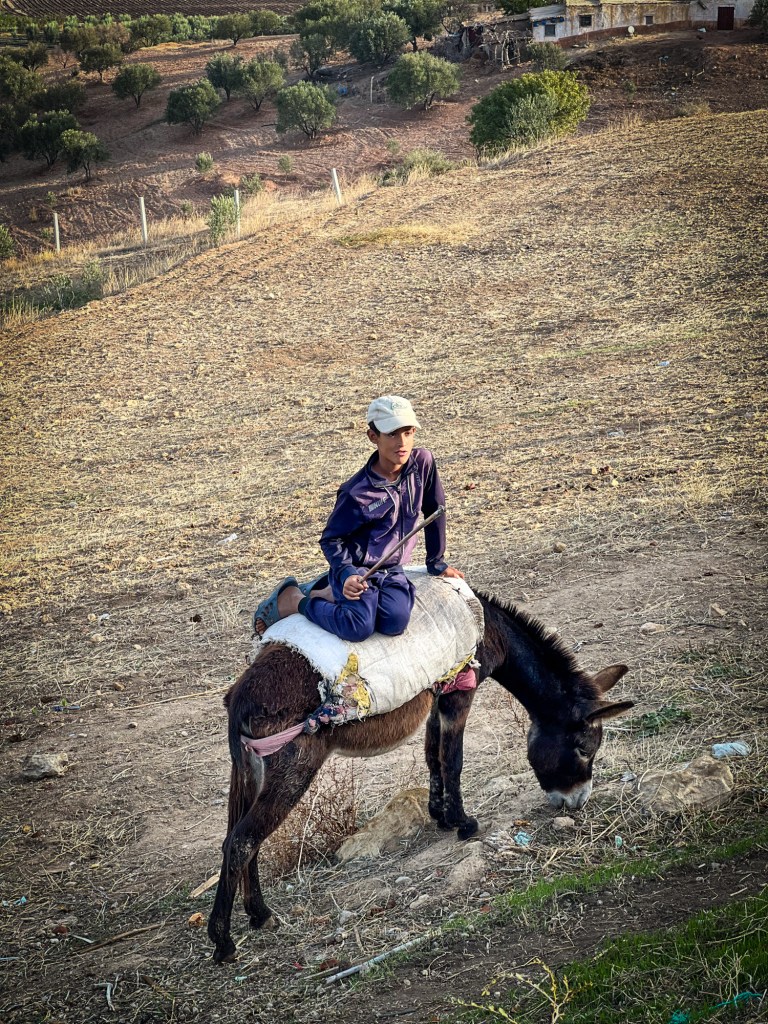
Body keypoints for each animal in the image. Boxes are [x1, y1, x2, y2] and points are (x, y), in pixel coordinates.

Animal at [208, 591, 633, 963]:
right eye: (583, 747)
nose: (577, 802)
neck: (489, 626)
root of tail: (240, 696)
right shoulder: (460, 693)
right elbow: (453, 758)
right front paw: (463, 823)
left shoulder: (437, 695)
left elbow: (433, 756)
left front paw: (440, 816)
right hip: (293, 768)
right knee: (243, 841)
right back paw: (223, 942)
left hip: (252, 770)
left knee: (241, 838)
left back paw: (258, 915)